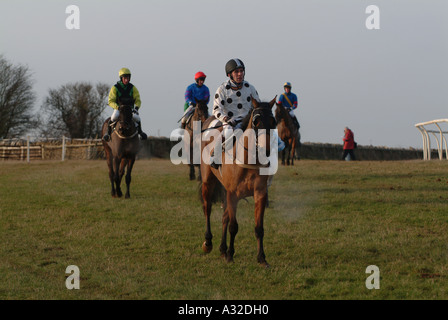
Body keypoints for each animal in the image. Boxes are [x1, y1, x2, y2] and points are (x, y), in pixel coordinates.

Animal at [199, 95, 276, 268]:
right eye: (256, 121)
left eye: (273, 121)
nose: (266, 150)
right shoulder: (233, 194)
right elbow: (233, 227)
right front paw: (230, 255)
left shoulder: (260, 194)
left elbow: (259, 228)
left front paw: (262, 258)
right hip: (208, 182)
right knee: (207, 209)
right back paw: (208, 242)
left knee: (224, 217)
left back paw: (222, 249)